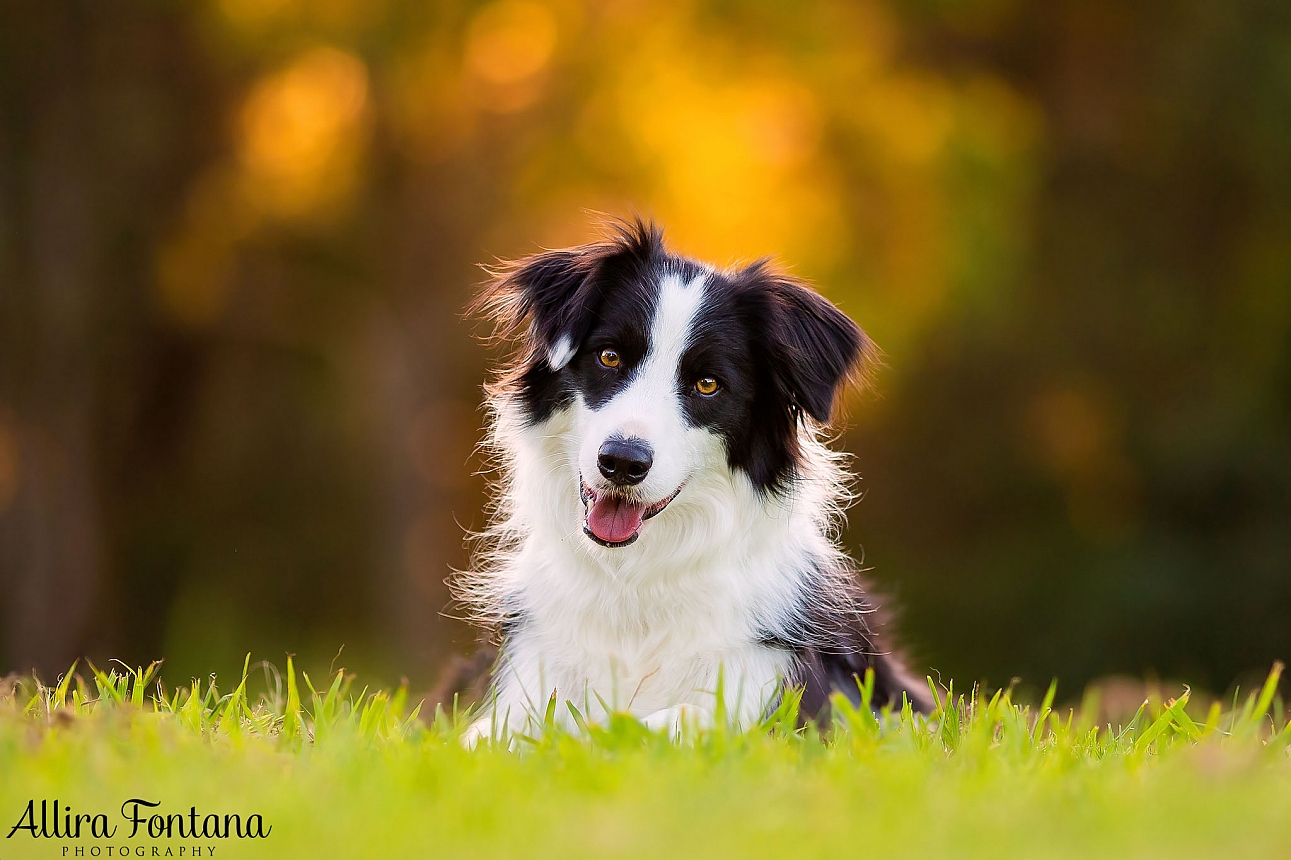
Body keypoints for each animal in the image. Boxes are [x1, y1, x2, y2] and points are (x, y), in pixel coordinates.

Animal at [459, 218, 934, 738]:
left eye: (708, 384)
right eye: (609, 357)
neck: (635, 579)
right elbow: (484, 736)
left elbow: (668, 719)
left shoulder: (783, 693)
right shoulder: (528, 676)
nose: (621, 462)